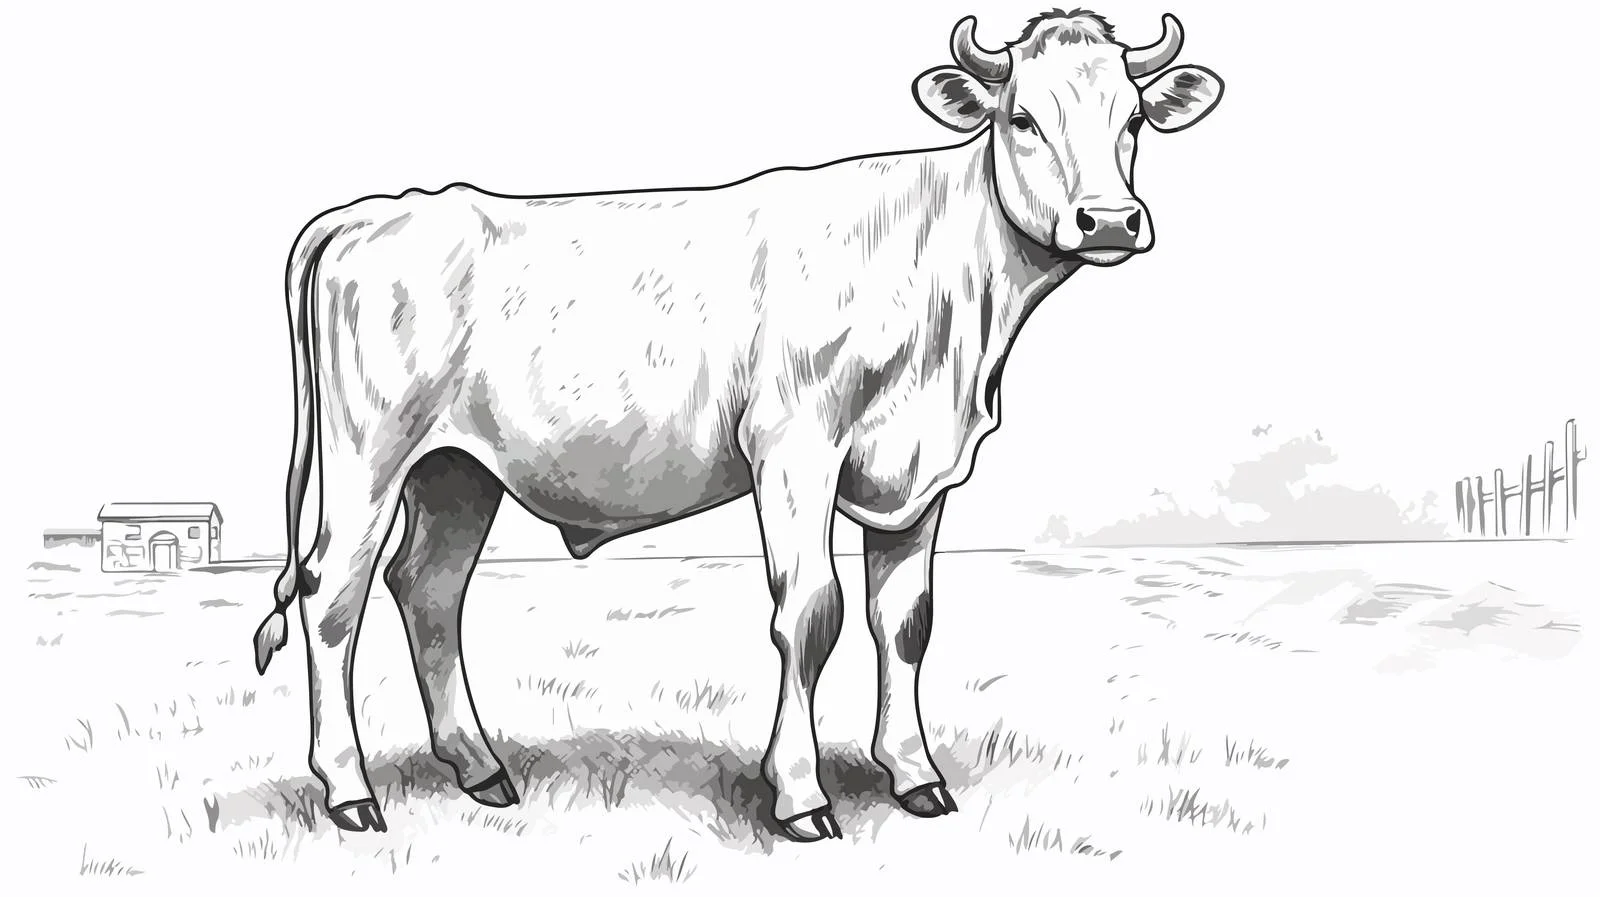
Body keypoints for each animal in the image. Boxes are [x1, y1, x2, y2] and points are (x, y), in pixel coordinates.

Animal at [251, 8, 1224, 842]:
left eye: (1134, 119)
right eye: (1022, 118)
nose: (1109, 220)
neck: (947, 299)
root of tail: (383, 208)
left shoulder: (919, 470)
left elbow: (905, 618)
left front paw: (915, 775)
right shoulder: (795, 450)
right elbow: (813, 610)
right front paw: (799, 794)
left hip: (456, 470)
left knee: (429, 590)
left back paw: (480, 767)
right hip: (369, 456)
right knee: (333, 597)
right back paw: (350, 792)